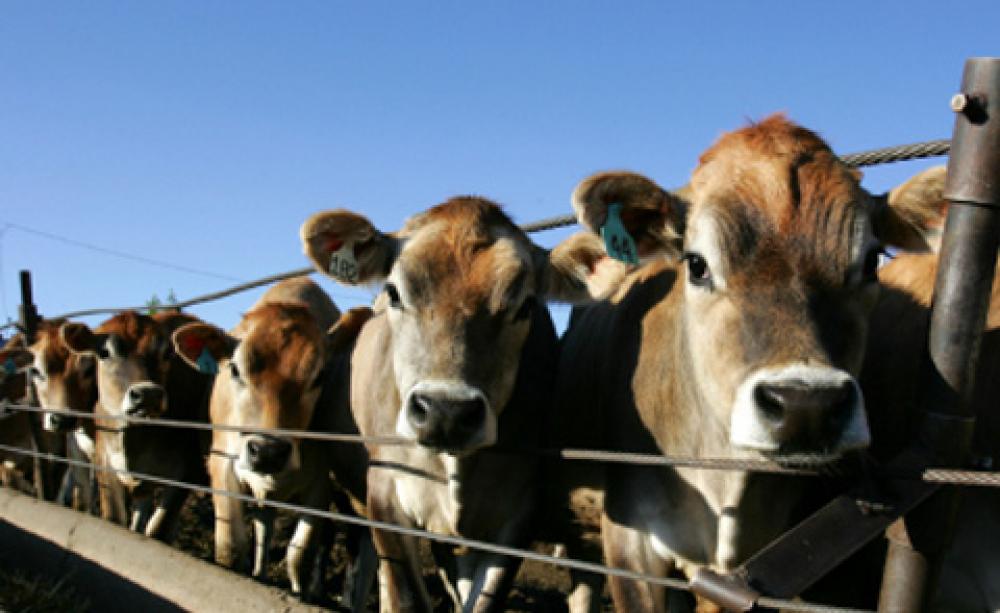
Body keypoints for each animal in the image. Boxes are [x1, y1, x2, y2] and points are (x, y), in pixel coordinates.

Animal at [61, 310, 212, 541]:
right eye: (104, 352)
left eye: (167, 353)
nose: (148, 394)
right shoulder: (105, 462)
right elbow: (114, 519)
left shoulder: (187, 473)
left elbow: (158, 530)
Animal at [170, 277, 375, 604]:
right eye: (235, 369)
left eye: (319, 377)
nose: (267, 451)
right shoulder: (222, 463)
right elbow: (230, 547)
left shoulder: (319, 484)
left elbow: (299, 555)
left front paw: (299, 594)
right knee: (264, 525)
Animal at [299, 198, 605, 612]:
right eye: (394, 292)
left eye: (525, 305)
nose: (446, 412)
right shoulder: (384, 492)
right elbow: (405, 596)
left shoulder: (515, 515)